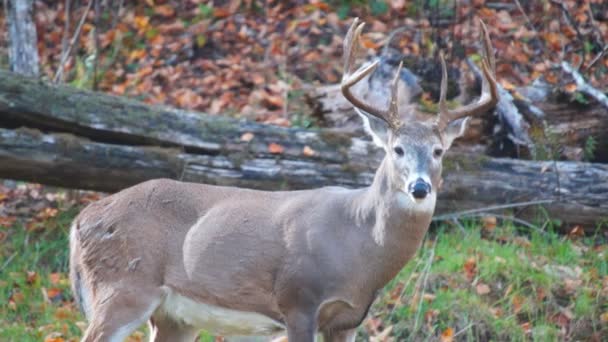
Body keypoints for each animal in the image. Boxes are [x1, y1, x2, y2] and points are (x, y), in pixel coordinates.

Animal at [70, 18, 498, 342]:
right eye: (397, 149)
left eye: (439, 151)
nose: (420, 187)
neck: (358, 244)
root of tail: (80, 222)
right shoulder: (298, 300)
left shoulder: (348, 318)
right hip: (122, 287)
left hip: (174, 316)